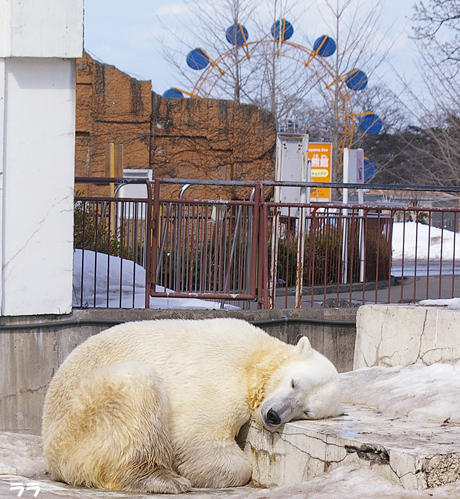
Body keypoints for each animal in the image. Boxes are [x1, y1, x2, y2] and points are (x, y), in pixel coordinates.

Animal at [42, 318, 342, 494]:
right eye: (293, 383)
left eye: (306, 411)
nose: (273, 415)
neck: (257, 360)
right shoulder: (220, 376)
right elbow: (200, 436)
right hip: (80, 420)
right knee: (137, 383)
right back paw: (162, 479)